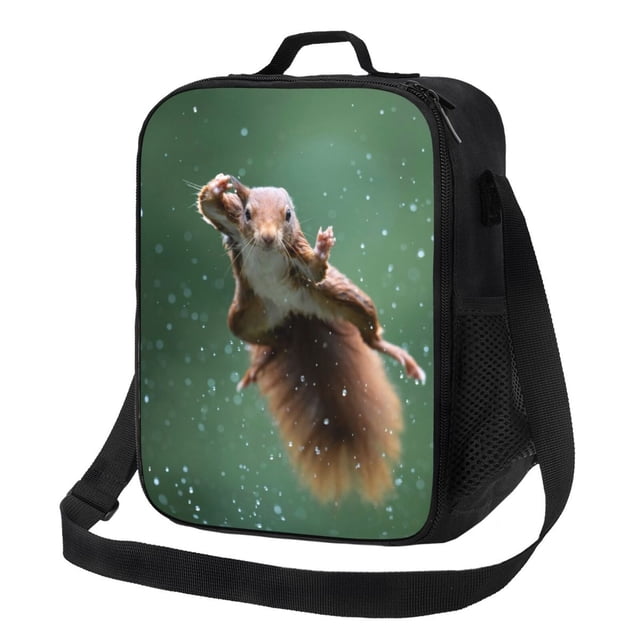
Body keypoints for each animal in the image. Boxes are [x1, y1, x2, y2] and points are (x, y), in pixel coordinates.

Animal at [197, 173, 425, 504]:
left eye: (288, 215)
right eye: (248, 214)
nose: (268, 238)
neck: (268, 251)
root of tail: (295, 314)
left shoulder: (297, 255)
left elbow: (315, 269)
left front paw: (323, 247)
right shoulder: (233, 225)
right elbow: (208, 206)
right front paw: (218, 185)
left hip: (342, 297)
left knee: (369, 335)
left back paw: (398, 355)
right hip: (244, 318)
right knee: (278, 343)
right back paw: (260, 364)